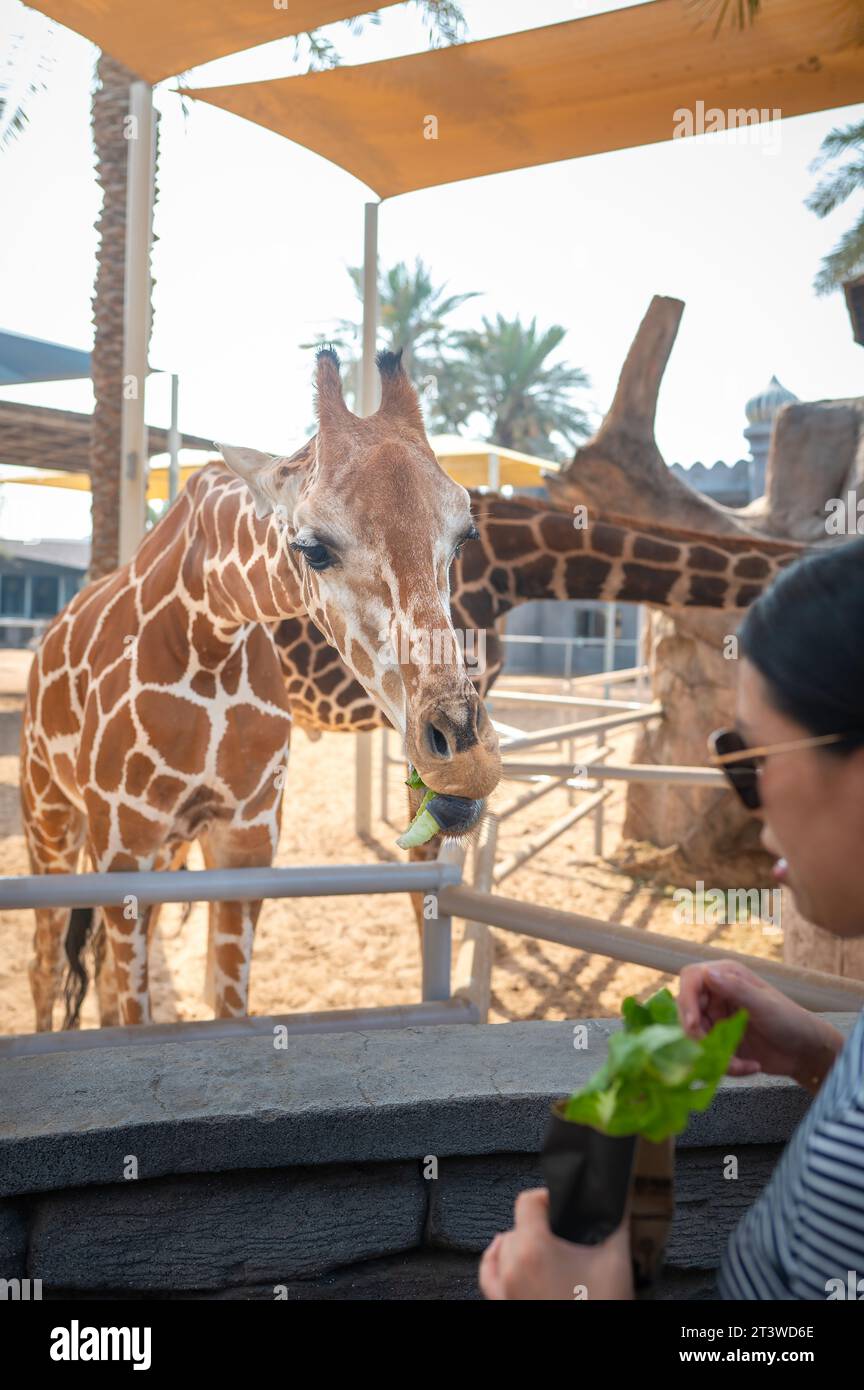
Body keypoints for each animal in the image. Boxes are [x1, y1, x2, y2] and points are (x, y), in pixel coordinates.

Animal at [22, 350, 500, 1034]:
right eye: (313, 548)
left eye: (464, 536)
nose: (464, 758)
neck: (207, 628)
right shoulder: (123, 850)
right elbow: (134, 1015)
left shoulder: (245, 844)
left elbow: (227, 1006)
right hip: (51, 816)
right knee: (45, 965)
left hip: (166, 848)